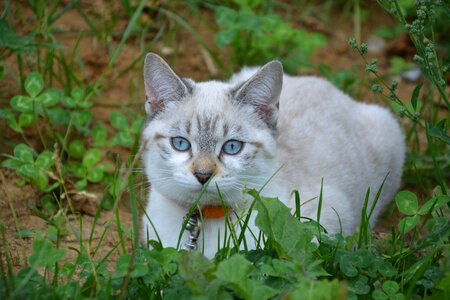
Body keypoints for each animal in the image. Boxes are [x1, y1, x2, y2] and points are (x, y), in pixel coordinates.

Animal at [140, 52, 404, 258]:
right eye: (181, 144)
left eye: (232, 147)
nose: (203, 175)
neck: (203, 219)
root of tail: (327, 85)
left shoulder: (328, 220)